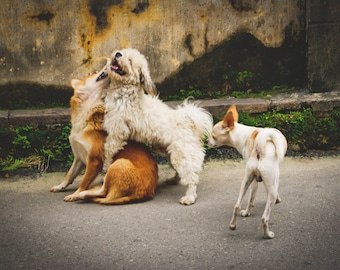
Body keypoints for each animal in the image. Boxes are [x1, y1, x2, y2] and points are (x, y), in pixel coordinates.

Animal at [49, 65, 159, 205]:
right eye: (94, 72)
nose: (108, 65)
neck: (86, 116)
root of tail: (145, 193)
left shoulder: (94, 161)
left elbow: (83, 182)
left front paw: (75, 194)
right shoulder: (78, 157)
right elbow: (69, 175)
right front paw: (60, 186)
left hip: (118, 163)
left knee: (104, 191)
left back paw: (82, 195)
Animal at [101, 48, 212, 205]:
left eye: (130, 61)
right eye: (123, 52)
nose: (117, 54)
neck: (124, 92)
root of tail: (190, 124)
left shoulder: (117, 131)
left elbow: (108, 149)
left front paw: (105, 167)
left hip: (182, 155)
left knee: (191, 177)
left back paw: (189, 197)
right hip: (172, 154)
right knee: (181, 173)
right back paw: (173, 180)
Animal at [207, 104, 286, 237]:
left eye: (213, 136)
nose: (206, 141)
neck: (243, 135)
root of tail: (260, 147)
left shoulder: (255, 180)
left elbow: (250, 199)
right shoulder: (270, 182)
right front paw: (278, 200)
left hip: (246, 181)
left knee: (237, 205)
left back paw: (233, 225)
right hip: (268, 186)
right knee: (264, 218)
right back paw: (268, 234)